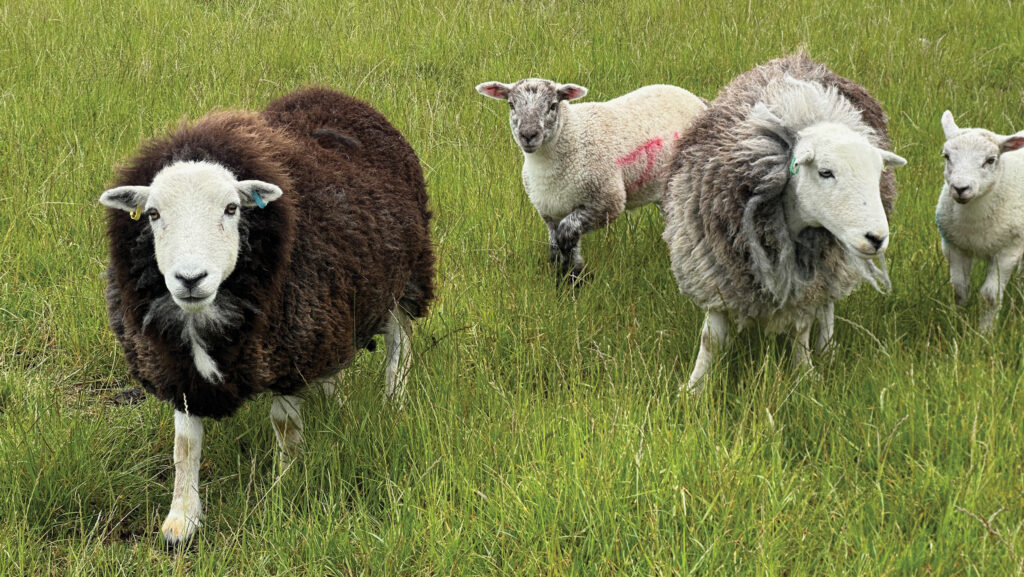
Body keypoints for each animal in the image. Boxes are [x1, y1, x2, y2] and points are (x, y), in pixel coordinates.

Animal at [98, 87, 435, 545]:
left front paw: (284, 490)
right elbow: (185, 445)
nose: (190, 278)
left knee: (400, 342)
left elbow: (284, 427)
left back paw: (394, 399)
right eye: (153, 214)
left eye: (231, 209)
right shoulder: (175, 364)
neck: (202, 318)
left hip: (403, 277)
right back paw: (336, 403)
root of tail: (330, 92)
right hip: (330, 312)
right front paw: (182, 520)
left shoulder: (290, 354)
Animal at [476, 78, 707, 283]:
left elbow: (566, 237)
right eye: (511, 104)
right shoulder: (550, 211)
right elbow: (557, 245)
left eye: (553, 105)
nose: (528, 135)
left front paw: (576, 278)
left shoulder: (606, 202)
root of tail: (696, 99)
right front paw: (565, 278)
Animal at [662, 52, 907, 396]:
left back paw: (827, 348)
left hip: (834, 267)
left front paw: (804, 376)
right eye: (825, 172)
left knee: (826, 307)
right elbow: (710, 339)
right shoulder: (716, 272)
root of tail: (801, 59)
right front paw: (694, 389)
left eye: (877, 172)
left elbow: (801, 330)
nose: (876, 238)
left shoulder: (808, 284)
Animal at [935, 111, 1024, 331]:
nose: (960, 188)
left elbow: (989, 296)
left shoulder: (1007, 252)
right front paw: (957, 325)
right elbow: (959, 289)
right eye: (947, 156)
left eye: (990, 160)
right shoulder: (954, 246)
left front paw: (985, 333)